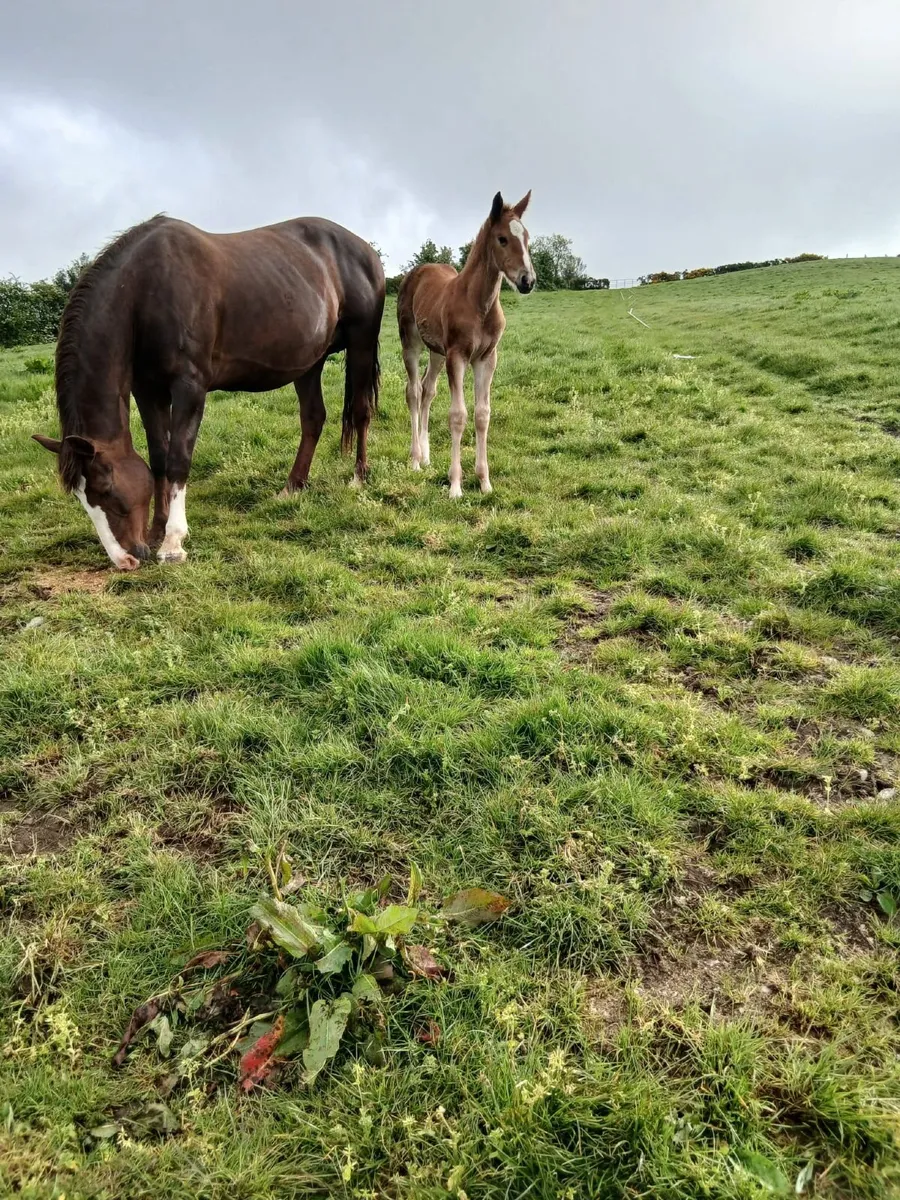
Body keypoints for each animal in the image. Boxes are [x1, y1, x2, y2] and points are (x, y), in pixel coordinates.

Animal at [33, 214, 384, 570]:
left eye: (105, 488)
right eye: (81, 496)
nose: (126, 560)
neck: (144, 291)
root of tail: (364, 249)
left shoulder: (190, 387)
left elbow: (178, 459)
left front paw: (173, 542)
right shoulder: (147, 390)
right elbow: (158, 458)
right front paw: (158, 528)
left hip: (361, 342)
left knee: (360, 411)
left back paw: (358, 477)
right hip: (310, 362)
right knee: (313, 418)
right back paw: (293, 487)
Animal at [397, 190, 535, 498]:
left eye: (527, 238)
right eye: (502, 239)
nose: (528, 280)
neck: (478, 304)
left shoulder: (487, 358)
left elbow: (482, 415)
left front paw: (484, 482)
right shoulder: (457, 356)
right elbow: (458, 415)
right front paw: (455, 486)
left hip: (436, 352)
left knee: (428, 390)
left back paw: (426, 456)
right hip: (411, 343)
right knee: (413, 391)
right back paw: (415, 459)